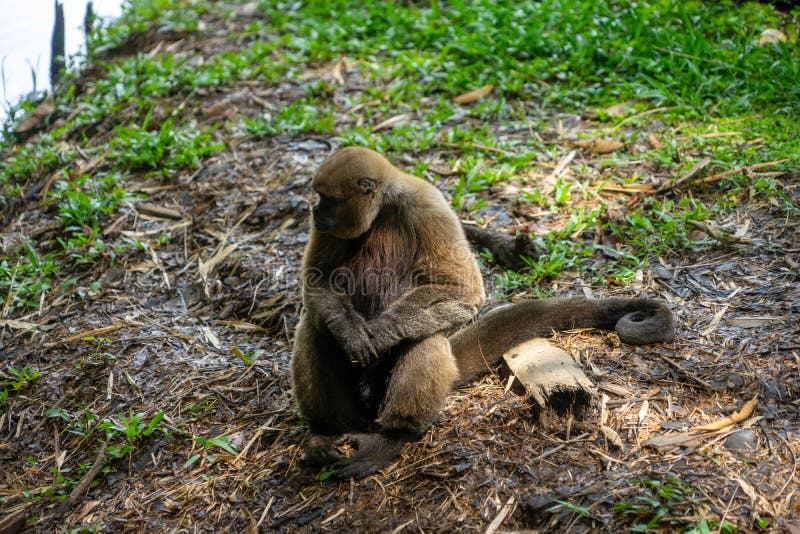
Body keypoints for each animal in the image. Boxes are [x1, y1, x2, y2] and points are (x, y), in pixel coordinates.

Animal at [290, 147, 674, 480]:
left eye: (328, 199)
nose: (314, 212)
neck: (382, 210)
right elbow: (317, 281)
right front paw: (352, 331)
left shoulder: (427, 206)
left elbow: (464, 293)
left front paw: (382, 331)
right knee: (315, 327)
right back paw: (330, 431)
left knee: (424, 336)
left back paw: (392, 436)